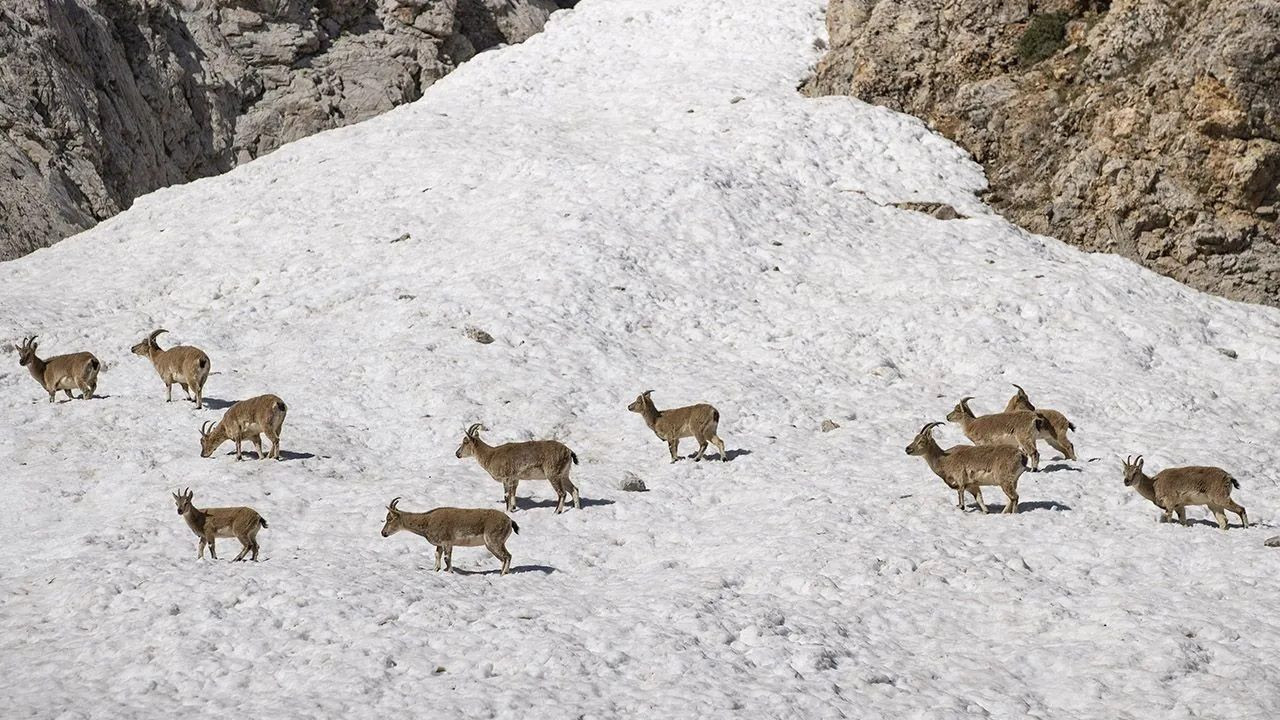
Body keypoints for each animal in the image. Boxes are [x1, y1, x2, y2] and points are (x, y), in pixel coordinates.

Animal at [378, 497, 519, 573]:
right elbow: (437, 555)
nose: (383, 533)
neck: (427, 521)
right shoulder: (440, 544)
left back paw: (503, 574)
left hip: (493, 541)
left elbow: (447, 558)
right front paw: (436, 570)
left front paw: (450, 572)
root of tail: (509, 521)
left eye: (389, 518)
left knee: (507, 556)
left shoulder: (447, 542)